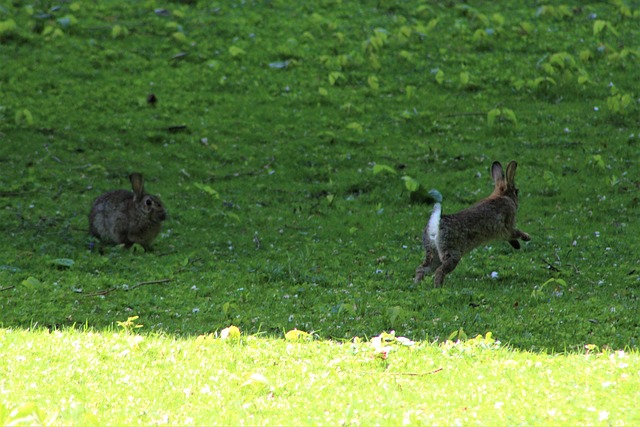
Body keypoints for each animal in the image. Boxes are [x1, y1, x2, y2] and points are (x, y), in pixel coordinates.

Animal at [416, 160, 528, 288]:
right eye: (516, 191)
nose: (517, 200)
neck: (502, 195)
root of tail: (436, 225)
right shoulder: (508, 226)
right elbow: (515, 232)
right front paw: (527, 237)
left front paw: (518, 245)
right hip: (451, 252)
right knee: (439, 270)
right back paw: (438, 288)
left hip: (433, 251)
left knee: (422, 268)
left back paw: (416, 285)